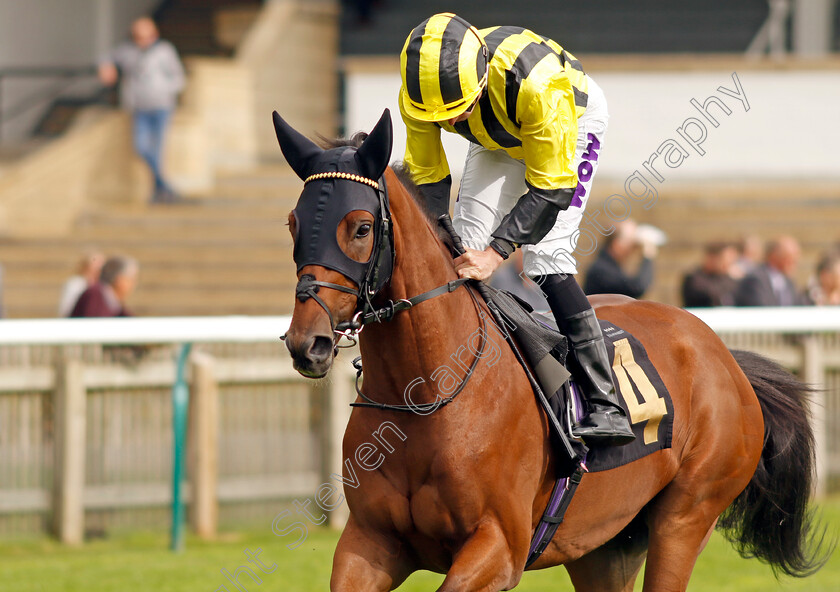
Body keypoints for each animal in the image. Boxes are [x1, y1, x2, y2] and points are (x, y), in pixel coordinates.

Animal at [274, 108, 828, 588]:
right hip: (603, 545)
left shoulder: (499, 547)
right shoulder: (369, 543)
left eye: (361, 228)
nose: (308, 343)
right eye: (293, 225)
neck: (427, 393)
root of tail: (722, 353)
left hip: (687, 515)